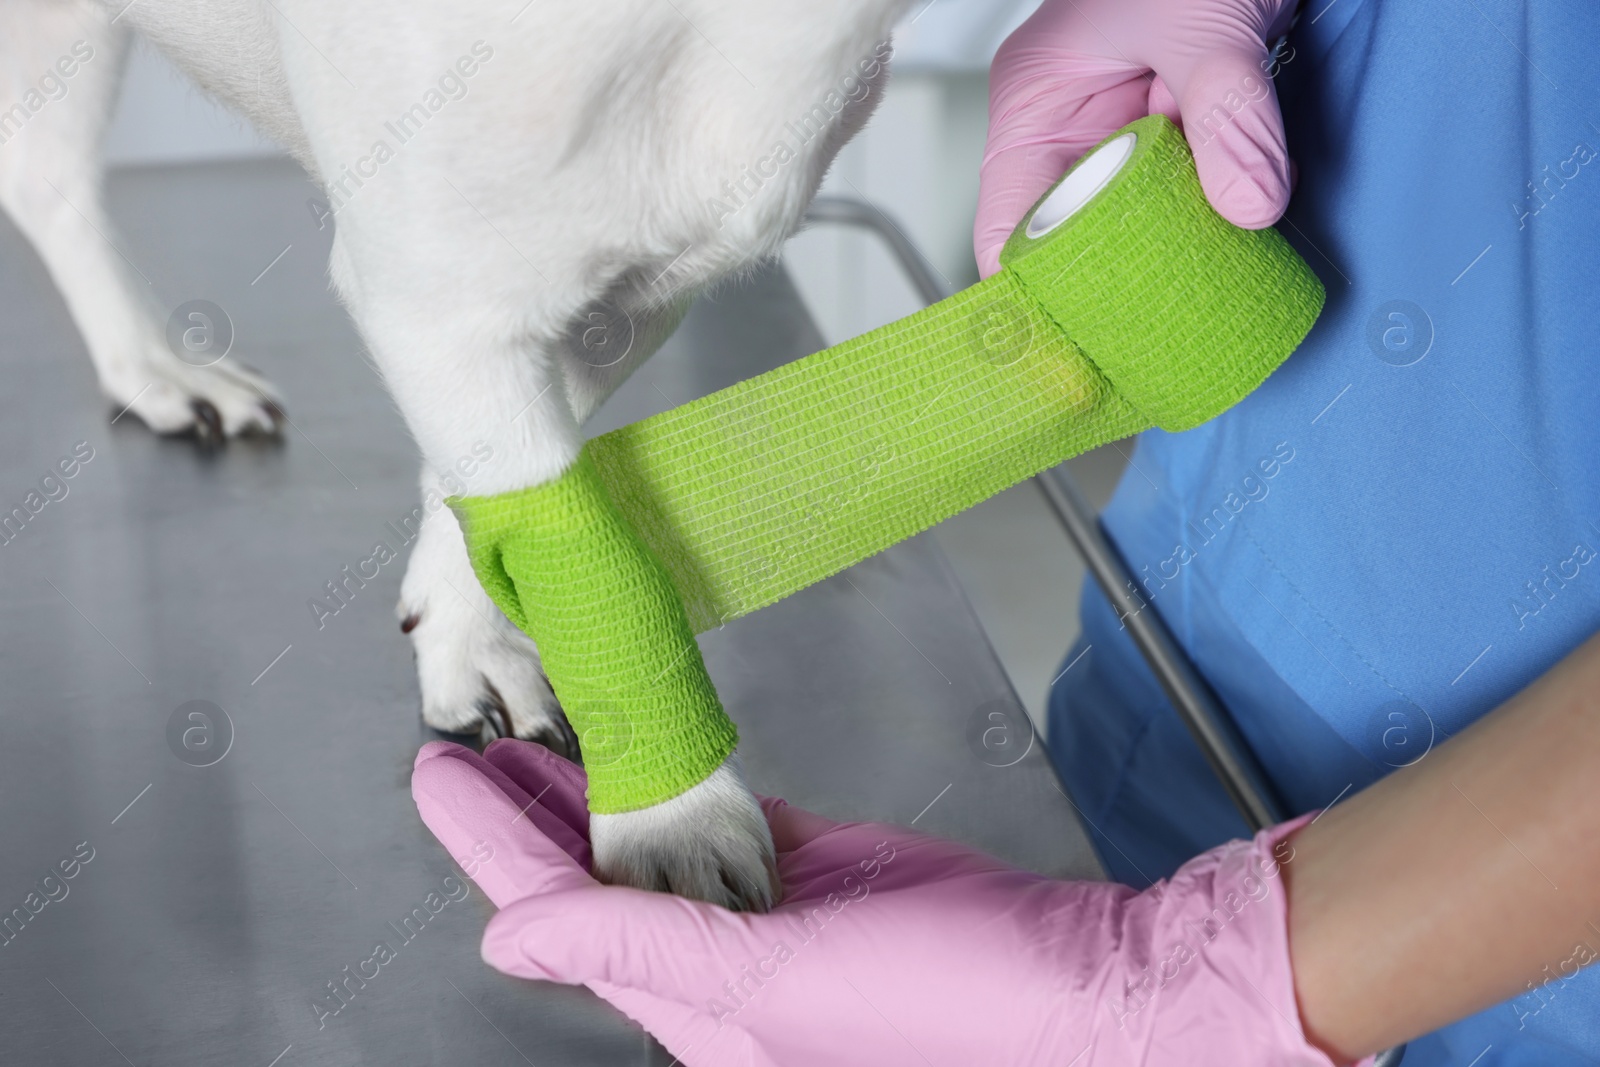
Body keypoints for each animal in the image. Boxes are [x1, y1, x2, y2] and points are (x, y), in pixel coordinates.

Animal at [0, 0, 915, 908]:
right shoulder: (441, 300)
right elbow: (566, 528)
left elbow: (502, 495)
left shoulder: (624, 299)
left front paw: (458, 625)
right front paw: (674, 812)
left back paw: (151, 364)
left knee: (46, 179)